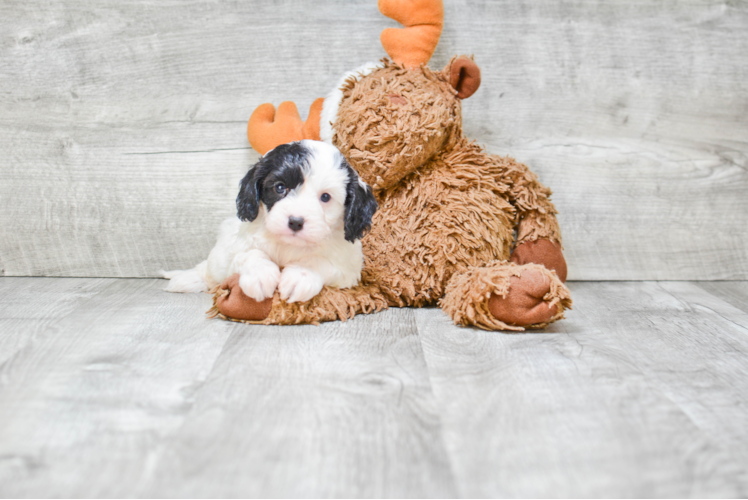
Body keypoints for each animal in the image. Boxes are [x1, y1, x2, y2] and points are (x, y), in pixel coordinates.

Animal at [161, 141, 376, 304]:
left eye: (325, 197)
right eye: (280, 188)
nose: (295, 222)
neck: (289, 245)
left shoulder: (348, 270)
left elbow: (318, 261)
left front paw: (300, 275)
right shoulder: (239, 248)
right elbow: (251, 254)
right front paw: (259, 275)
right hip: (219, 257)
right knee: (209, 271)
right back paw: (186, 280)